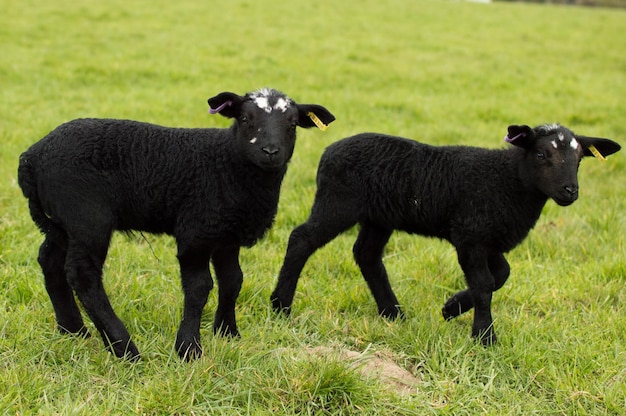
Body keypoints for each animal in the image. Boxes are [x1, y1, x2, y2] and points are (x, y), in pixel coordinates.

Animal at [17, 88, 334, 360]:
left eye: (292, 124)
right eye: (245, 119)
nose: (270, 151)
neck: (227, 164)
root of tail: (32, 156)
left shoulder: (226, 234)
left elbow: (233, 281)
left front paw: (227, 333)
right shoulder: (195, 232)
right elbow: (199, 287)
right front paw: (189, 348)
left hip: (62, 223)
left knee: (50, 261)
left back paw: (73, 331)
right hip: (87, 218)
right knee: (83, 275)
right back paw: (125, 349)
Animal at [272, 123, 620, 344]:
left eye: (579, 158)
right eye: (541, 154)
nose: (570, 191)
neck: (508, 180)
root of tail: (328, 151)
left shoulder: (488, 239)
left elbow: (501, 276)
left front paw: (451, 308)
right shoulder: (469, 235)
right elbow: (484, 284)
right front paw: (484, 337)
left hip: (378, 217)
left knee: (367, 255)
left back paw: (393, 313)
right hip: (337, 203)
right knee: (301, 239)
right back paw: (280, 307)